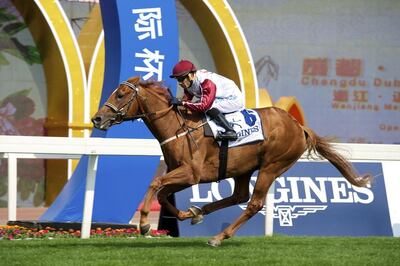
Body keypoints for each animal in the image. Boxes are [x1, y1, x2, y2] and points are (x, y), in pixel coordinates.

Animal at [91, 77, 372, 247]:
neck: (177, 128)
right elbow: (162, 193)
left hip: (271, 166)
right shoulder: (182, 173)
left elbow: (155, 184)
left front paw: (144, 226)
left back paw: (219, 237)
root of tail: (298, 126)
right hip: (242, 168)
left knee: (254, 203)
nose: (97, 119)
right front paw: (186, 214)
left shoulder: (191, 173)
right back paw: (200, 213)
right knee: (239, 196)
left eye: (121, 95)